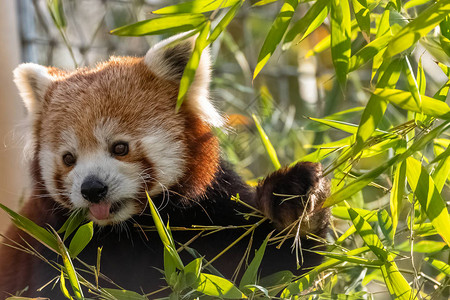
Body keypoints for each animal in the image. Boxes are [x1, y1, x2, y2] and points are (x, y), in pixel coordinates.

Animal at [0, 34, 330, 298]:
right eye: (69, 159)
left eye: (120, 148)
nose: (92, 189)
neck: (131, 229)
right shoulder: (49, 242)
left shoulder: (211, 212)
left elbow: (270, 265)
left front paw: (292, 202)